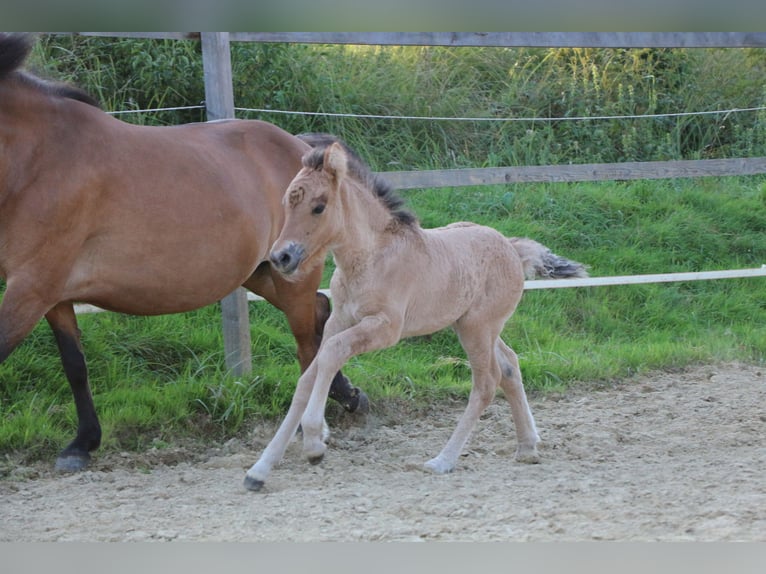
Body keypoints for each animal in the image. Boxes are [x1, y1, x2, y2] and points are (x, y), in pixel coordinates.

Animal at [0, 34, 367, 473]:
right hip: (263, 271)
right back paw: (350, 397)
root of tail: (302, 146)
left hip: (292, 274)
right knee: (320, 316)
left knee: (307, 343)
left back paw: (311, 430)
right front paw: (82, 443)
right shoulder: (50, 294)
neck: (40, 159)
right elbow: (75, 365)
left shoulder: (31, 288)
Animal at [243, 136, 588, 491]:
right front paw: (260, 469)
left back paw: (443, 460)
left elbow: (331, 355)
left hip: (477, 329)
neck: (371, 257)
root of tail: (510, 245)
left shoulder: (385, 328)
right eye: (286, 204)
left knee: (486, 383)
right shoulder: (339, 321)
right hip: (477, 326)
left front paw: (314, 442)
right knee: (509, 366)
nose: (280, 257)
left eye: (319, 206)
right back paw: (527, 446)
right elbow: (308, 377)